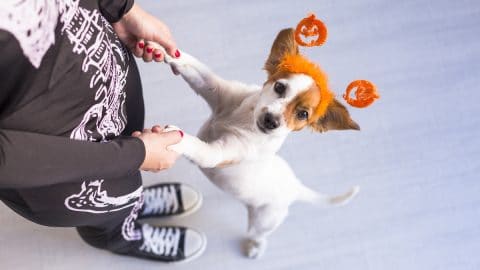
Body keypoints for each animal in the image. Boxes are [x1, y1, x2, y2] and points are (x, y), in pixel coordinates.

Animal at [158, 28, 360, 258]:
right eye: (279, 87)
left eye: (303, 114)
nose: (271, 121)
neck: (244, 119)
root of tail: (295, 187)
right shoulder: (214, 89)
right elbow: (197, 70)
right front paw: (164, 50)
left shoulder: (218, 154)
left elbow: (195, 145)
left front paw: (176, 138)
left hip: (264, 221)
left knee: (258, 235)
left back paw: (255, 248)